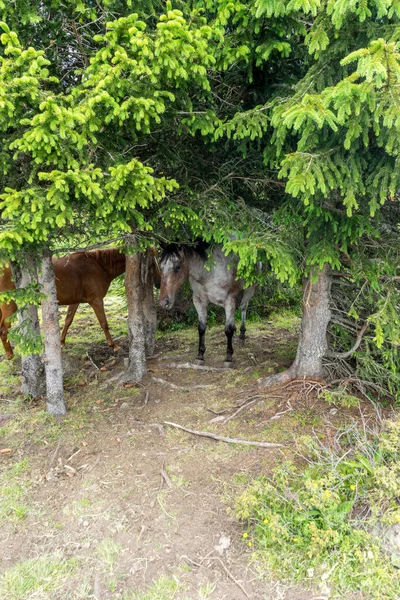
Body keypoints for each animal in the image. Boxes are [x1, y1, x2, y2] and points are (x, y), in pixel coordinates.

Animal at [1, 247, 161, 358]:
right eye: (151, 262)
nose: (159, 284)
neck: (99, 266)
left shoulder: (75, 302)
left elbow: (68, 320)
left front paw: (61, 342)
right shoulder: (96, 300)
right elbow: (104, 323)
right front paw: (113, 345)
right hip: (10, 305)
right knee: (3, 329)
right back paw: (10, 355)